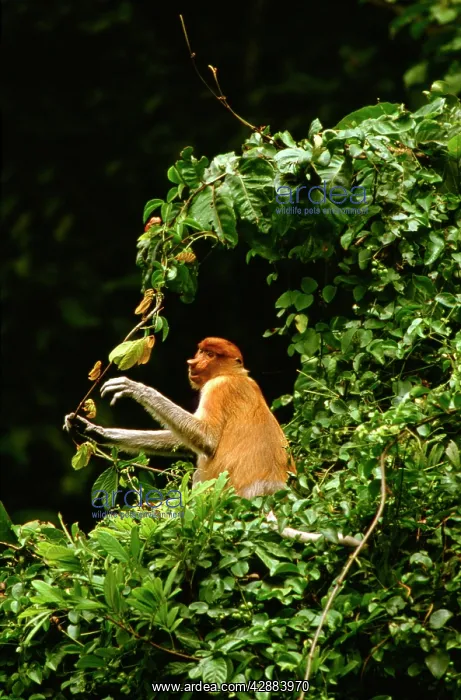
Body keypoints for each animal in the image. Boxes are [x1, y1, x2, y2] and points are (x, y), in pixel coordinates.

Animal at [64, 337, 295, 498]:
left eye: (210, 354)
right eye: (200, 351)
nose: (192, 362)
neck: (233, 374)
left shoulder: (217, 389)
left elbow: (207, 439)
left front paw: (135, 389)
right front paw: (93, 430)